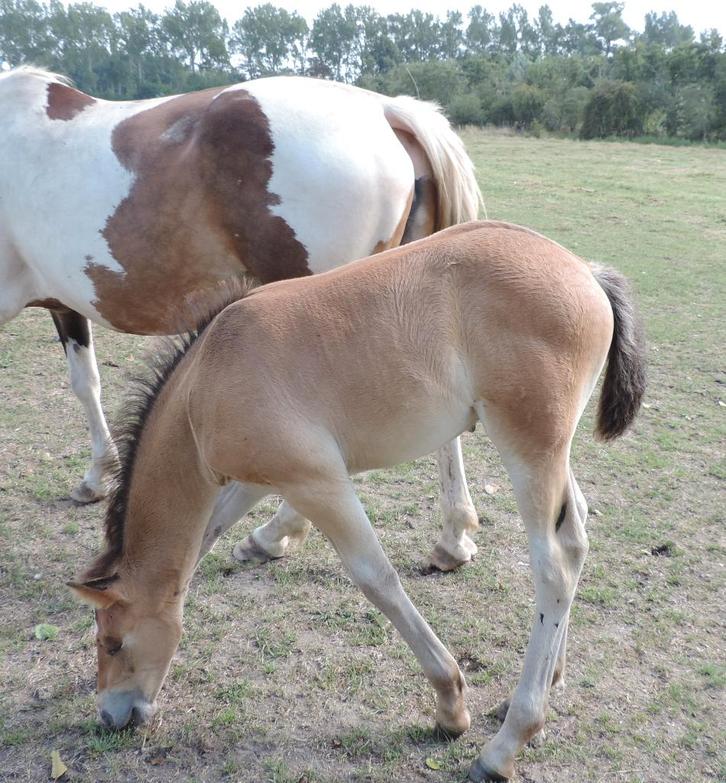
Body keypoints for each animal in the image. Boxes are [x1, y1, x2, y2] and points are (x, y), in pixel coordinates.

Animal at [0, 66, 483, 571]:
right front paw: (97, 476)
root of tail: (384, 109)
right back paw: (452, 539)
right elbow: (86, 383)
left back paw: (273, 535)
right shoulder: (66, 305)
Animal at [68, 220, 645, 781]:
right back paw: (550, 682)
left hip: (528, 448)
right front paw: (258, 545)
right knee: (577, 535)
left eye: (113, 642)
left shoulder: (319, 483)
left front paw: (449, 705)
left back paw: (506, 744)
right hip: (552, 454)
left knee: (556, 565)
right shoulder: (256, 478)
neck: (205, 386)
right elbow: (207, 538)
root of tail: (586, 272)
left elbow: (377, 579)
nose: (110, 716)